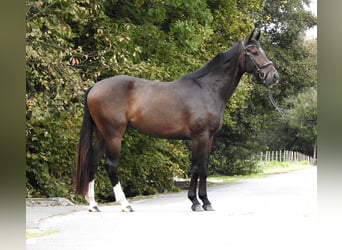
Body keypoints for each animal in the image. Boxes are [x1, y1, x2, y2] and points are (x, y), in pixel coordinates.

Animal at [74, 29, 278, 213]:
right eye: (254, 51)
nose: (273, 76)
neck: (206, 89)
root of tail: (94, 87)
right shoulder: (199, 137)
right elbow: (196, 168)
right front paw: (196, 202)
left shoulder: (209, 138)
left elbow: (203, 168)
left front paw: (205, 202)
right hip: (114, 135)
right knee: (111, 166)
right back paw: (125, 204)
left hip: (102, 134)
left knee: (92, 162)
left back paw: (93, 205)